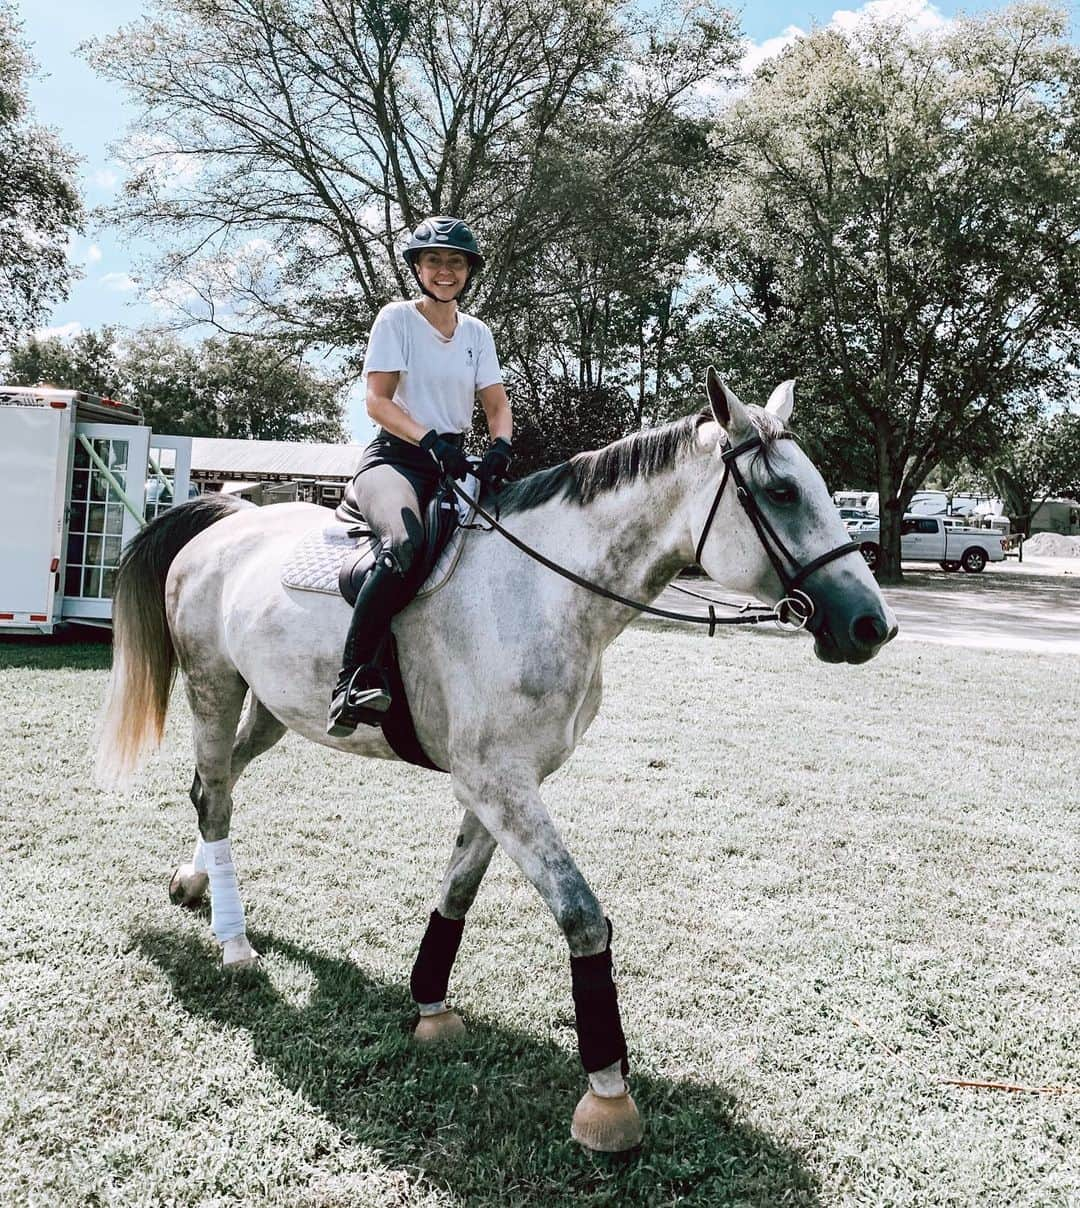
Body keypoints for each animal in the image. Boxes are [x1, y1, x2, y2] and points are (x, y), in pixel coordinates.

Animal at [95, 372, 898, 1145]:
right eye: (783, 491)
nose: (873, 626)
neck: (541, 593)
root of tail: (227, 519)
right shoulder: (498, 783)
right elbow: (583, 918)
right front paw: (608, 1096)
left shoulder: (501, 784)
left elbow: (457, 892)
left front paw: (430, 1006)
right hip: (212, 685)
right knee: (216, 793)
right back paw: (233, 944)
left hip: (271, 708)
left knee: (214, 787)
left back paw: (196, 882)